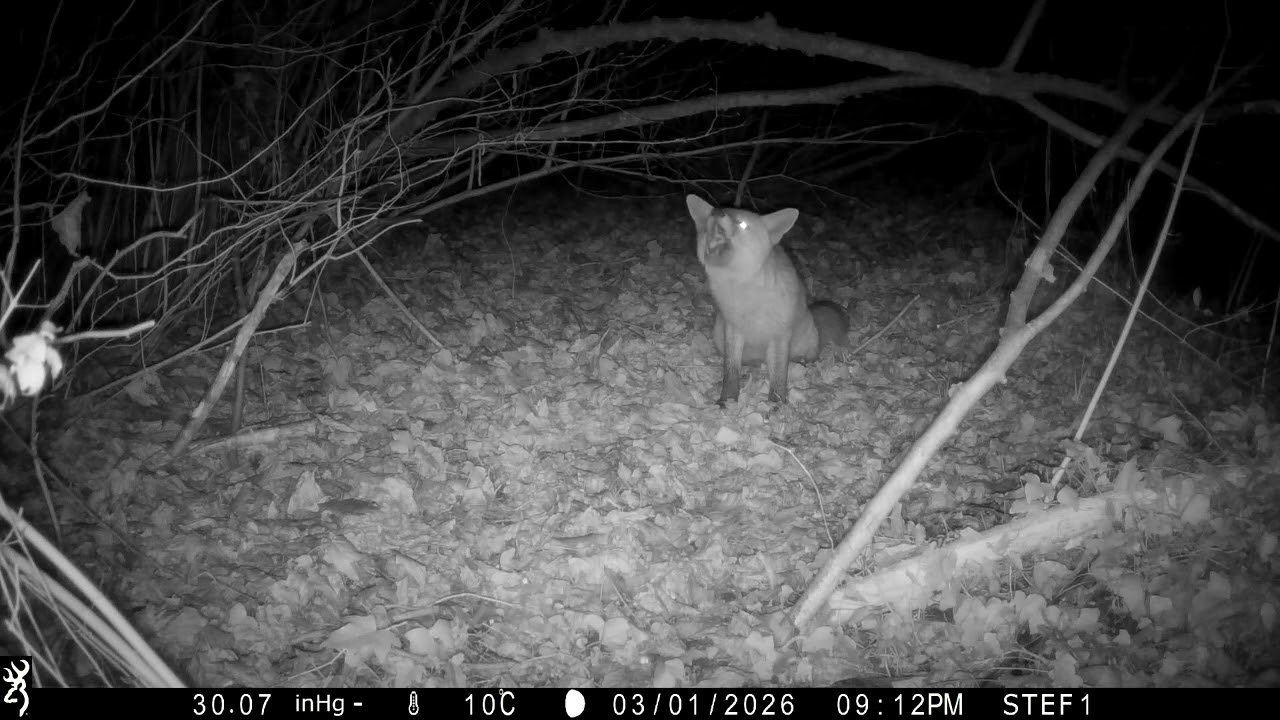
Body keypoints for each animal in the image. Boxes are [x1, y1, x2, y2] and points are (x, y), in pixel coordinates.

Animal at [686, 194, 849, 406]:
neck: (744, 294)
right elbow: (730, 370)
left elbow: (779, 375)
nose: (717, 212)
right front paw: (727, 400)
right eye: (708, 221)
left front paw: (777, 404)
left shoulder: (779, 334)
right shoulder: (733, 330)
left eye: (742, 223)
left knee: (809, 356)